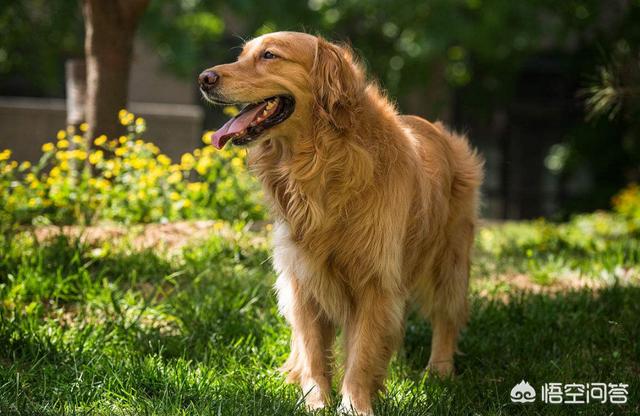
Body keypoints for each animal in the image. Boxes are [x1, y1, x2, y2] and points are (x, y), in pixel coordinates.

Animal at [198, 30, 482, 414]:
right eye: (242, 55)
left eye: (270, 55)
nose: (204, 78)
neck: (321, 162)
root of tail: (439, 129)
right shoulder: (301, 277)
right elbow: (314, 351)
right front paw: (316, 401)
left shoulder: (375, 280)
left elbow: (361, 354)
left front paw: (354, 404)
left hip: (450, 258)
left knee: (446, 316)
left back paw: (439, 371)